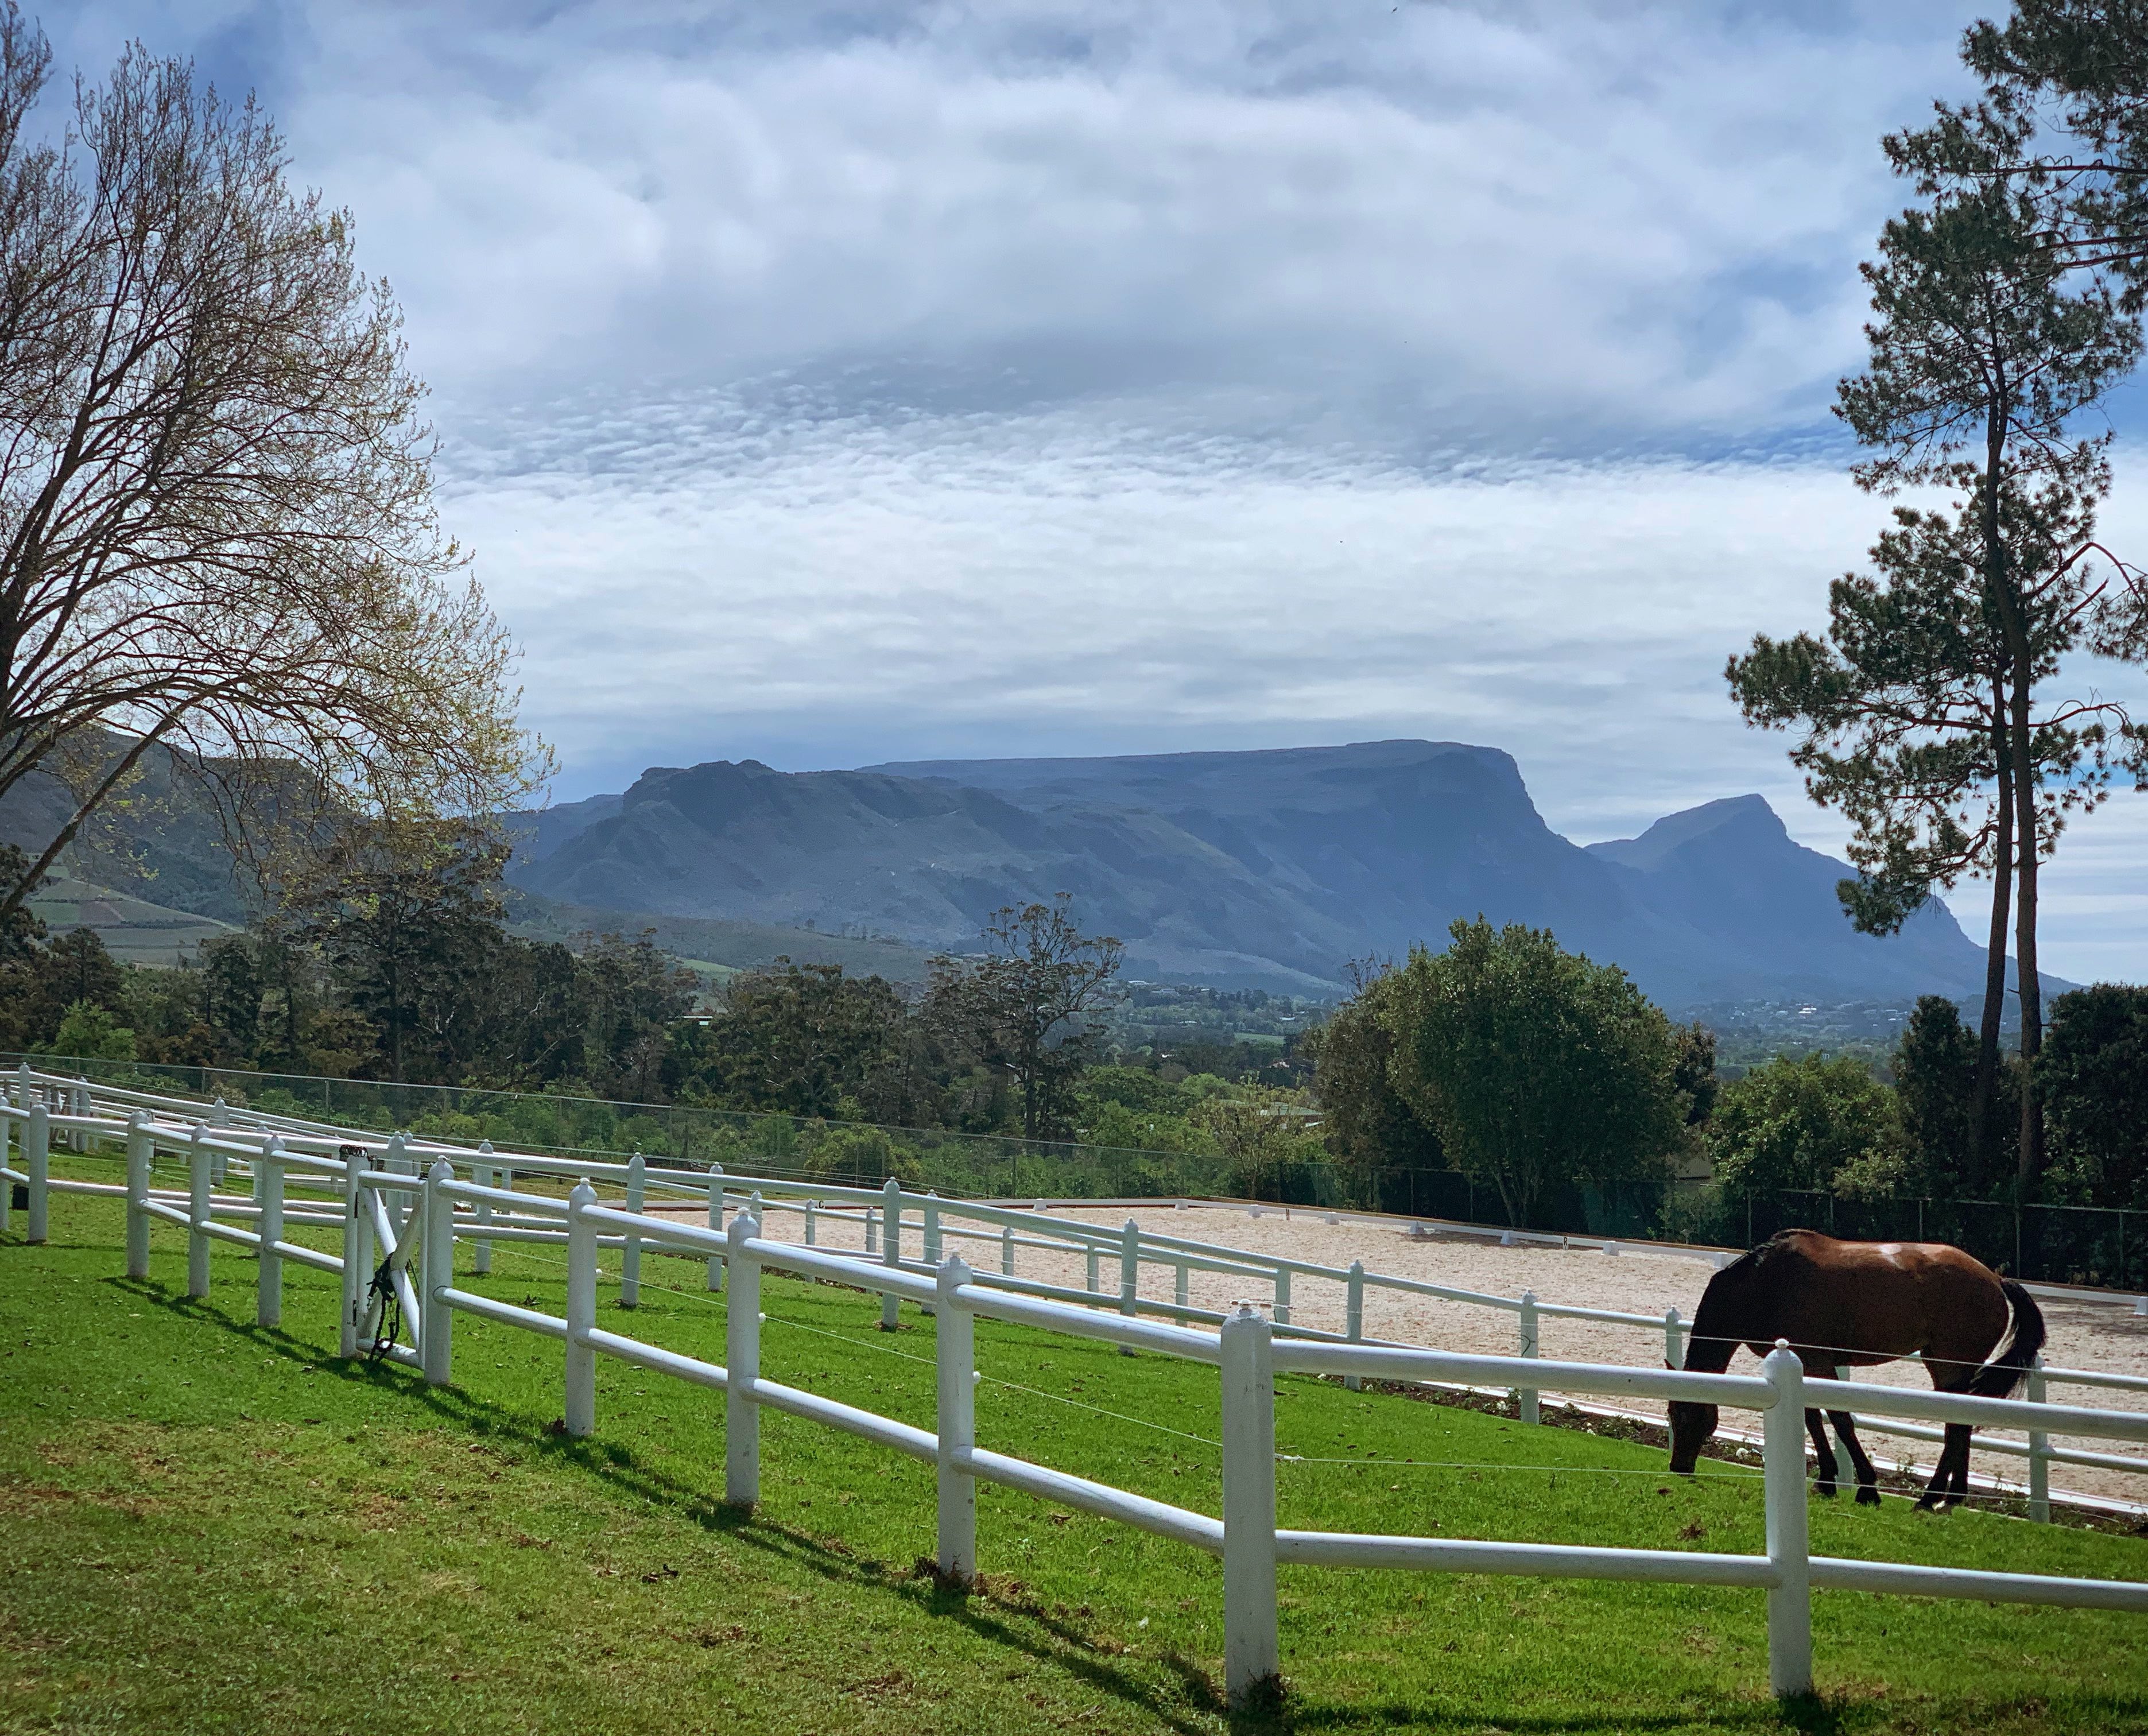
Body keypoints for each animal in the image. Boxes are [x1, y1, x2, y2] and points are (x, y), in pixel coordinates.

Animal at [1665, 1229, 2045, 1510]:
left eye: (1686, 1414)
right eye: (1671, 1413)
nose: (1677, 1468)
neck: (1764, 1285)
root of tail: (1995, 1279)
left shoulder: (1818, 1363)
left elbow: (1840, 1420)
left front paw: (1867, 1488)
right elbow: (1813, 1418)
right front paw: (1827, 1481)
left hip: (1948, 1367)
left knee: (1956, 1426)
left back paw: (1930, 1498)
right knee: (1962, 1423)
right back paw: (1950, 1498)